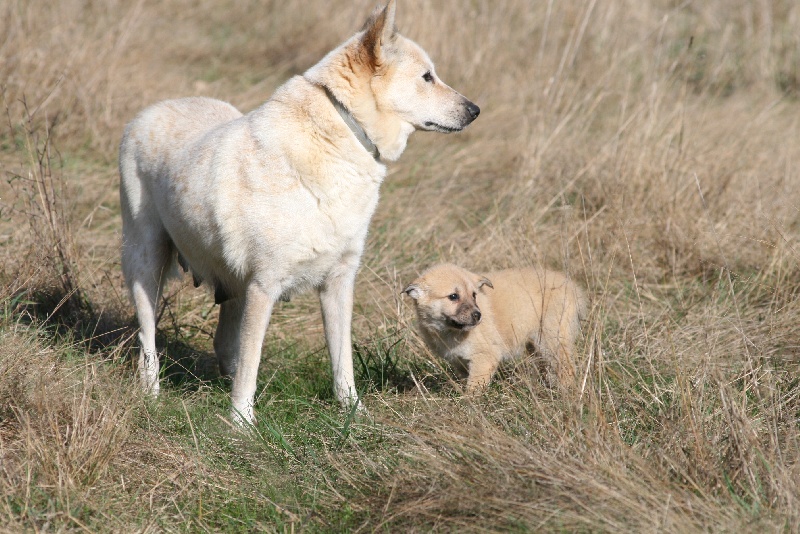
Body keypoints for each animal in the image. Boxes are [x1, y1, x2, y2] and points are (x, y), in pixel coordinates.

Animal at [119, 1, 478, 428]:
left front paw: (354, 415)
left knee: (224, 344)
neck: (339, 137)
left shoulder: (339, 283)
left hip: (232, 284)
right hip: (146, 265)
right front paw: (242, 425)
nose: (475, 110)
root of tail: (147, 112)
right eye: (427, 76)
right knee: (149, 341)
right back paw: (152, 395)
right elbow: (252, 362)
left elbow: (342, 361)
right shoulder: (264, 286)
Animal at [406, 264, 580, 394]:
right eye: (453, 296)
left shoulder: (485, 357)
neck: (451, 331)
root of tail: (571, 286)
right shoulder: (460, 361)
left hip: (552, 339)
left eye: (474, 295)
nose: (478, 315)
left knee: (567, 368)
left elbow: (474, 388)